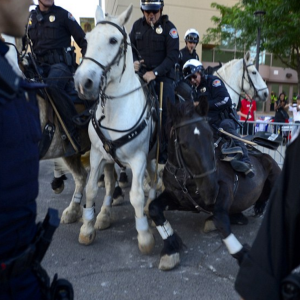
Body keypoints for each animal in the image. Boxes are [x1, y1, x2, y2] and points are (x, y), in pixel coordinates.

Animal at [72, 5, 156, 253]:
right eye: (87, 40)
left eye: (113, 40)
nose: (83, 82)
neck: (115, 111)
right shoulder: (98, 155)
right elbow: (92, 188)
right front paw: (88, 227)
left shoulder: (139, 158)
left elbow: (136, 196)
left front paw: (144, 236)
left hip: (152, 156)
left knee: (154, 179)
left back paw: (150, 206)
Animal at [149, 99, 282, 270]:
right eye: (184, 144)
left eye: (211, 137)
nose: (210, 191)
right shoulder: (178, 199)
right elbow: (154, 208)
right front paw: (170, 249)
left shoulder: (226, 188)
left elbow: (221, 219)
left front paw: (242, 254)